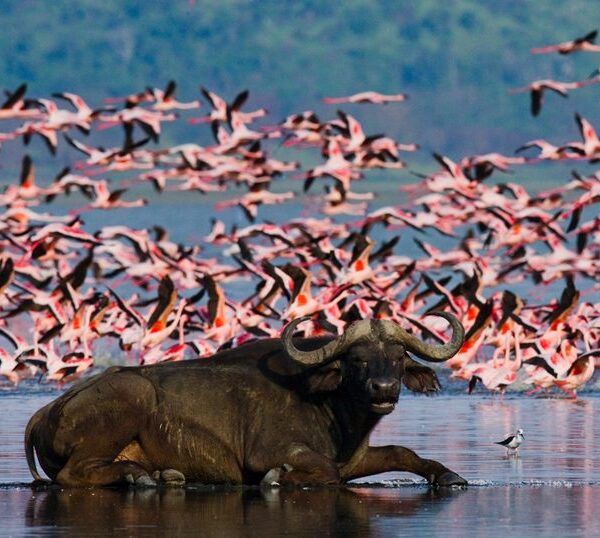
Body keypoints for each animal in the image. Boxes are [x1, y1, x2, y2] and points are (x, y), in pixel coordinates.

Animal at [25, 310, 466, 486]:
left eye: (398, 357)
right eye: (356, 360)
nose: (384, 389)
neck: (332, 407)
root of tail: (47, 410)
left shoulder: (356, 457)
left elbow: (402, 452)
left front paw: (448, 475)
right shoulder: (267, 453)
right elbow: (324, 470)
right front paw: (280, 478)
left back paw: (161, 476)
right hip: (130, 397)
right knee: (72, 475)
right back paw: (142, 478)